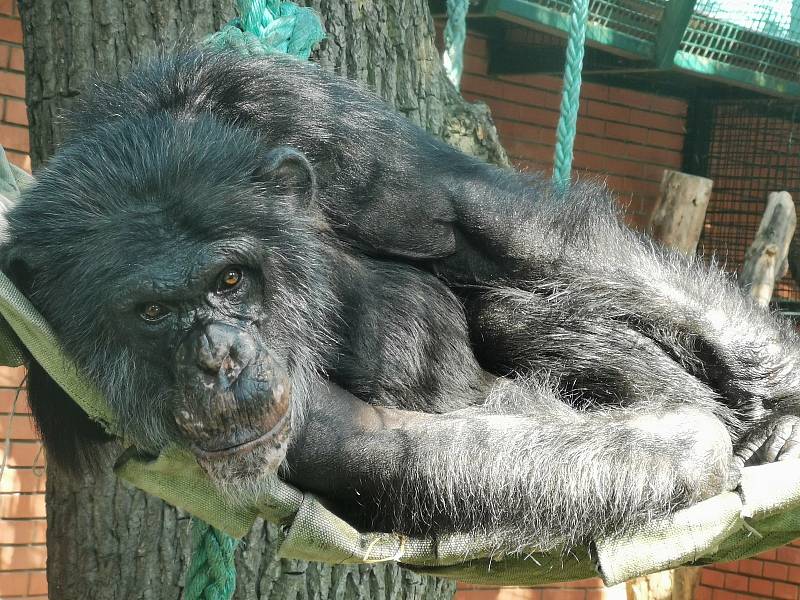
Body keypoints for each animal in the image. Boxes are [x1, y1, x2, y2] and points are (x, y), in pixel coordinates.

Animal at [1, 51, 800, 552]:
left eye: (229, 280)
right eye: (152, 313)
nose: (219, 359)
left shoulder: (305, 112)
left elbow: (504, 229)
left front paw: (783, 409)